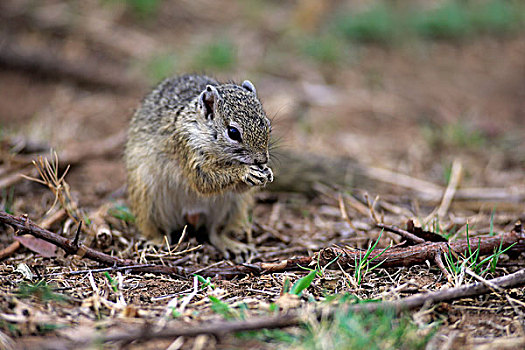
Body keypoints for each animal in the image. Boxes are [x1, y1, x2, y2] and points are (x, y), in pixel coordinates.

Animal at [124, 74, 272, 260]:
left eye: (268, 125)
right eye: (233, 132)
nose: (262, 159)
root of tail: (191, 214)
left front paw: (266, 172)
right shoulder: (187, 149)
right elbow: (203, 182)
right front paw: (245, 172)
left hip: (230, 208)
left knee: (215, 232)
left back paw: (232, 246)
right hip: (149, 200)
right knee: (160, 231)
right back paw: (156, 243)